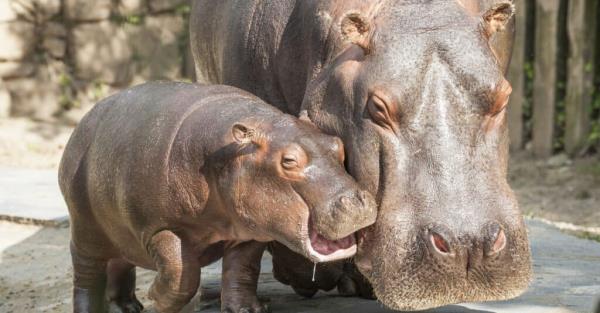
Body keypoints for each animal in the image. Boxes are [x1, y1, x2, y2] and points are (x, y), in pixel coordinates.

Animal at [57, 81, 376, 312]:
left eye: (337, 145)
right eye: (288, 161)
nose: (357, 201)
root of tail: (81, 125)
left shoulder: (250, 231)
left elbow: (241, 270)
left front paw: (247, 309)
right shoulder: (158, 228)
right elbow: (182, 273)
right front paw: (156, 298)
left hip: (119, 234)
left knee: (120, 263)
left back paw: (127, 307)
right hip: (85, 231)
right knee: (86, 277)